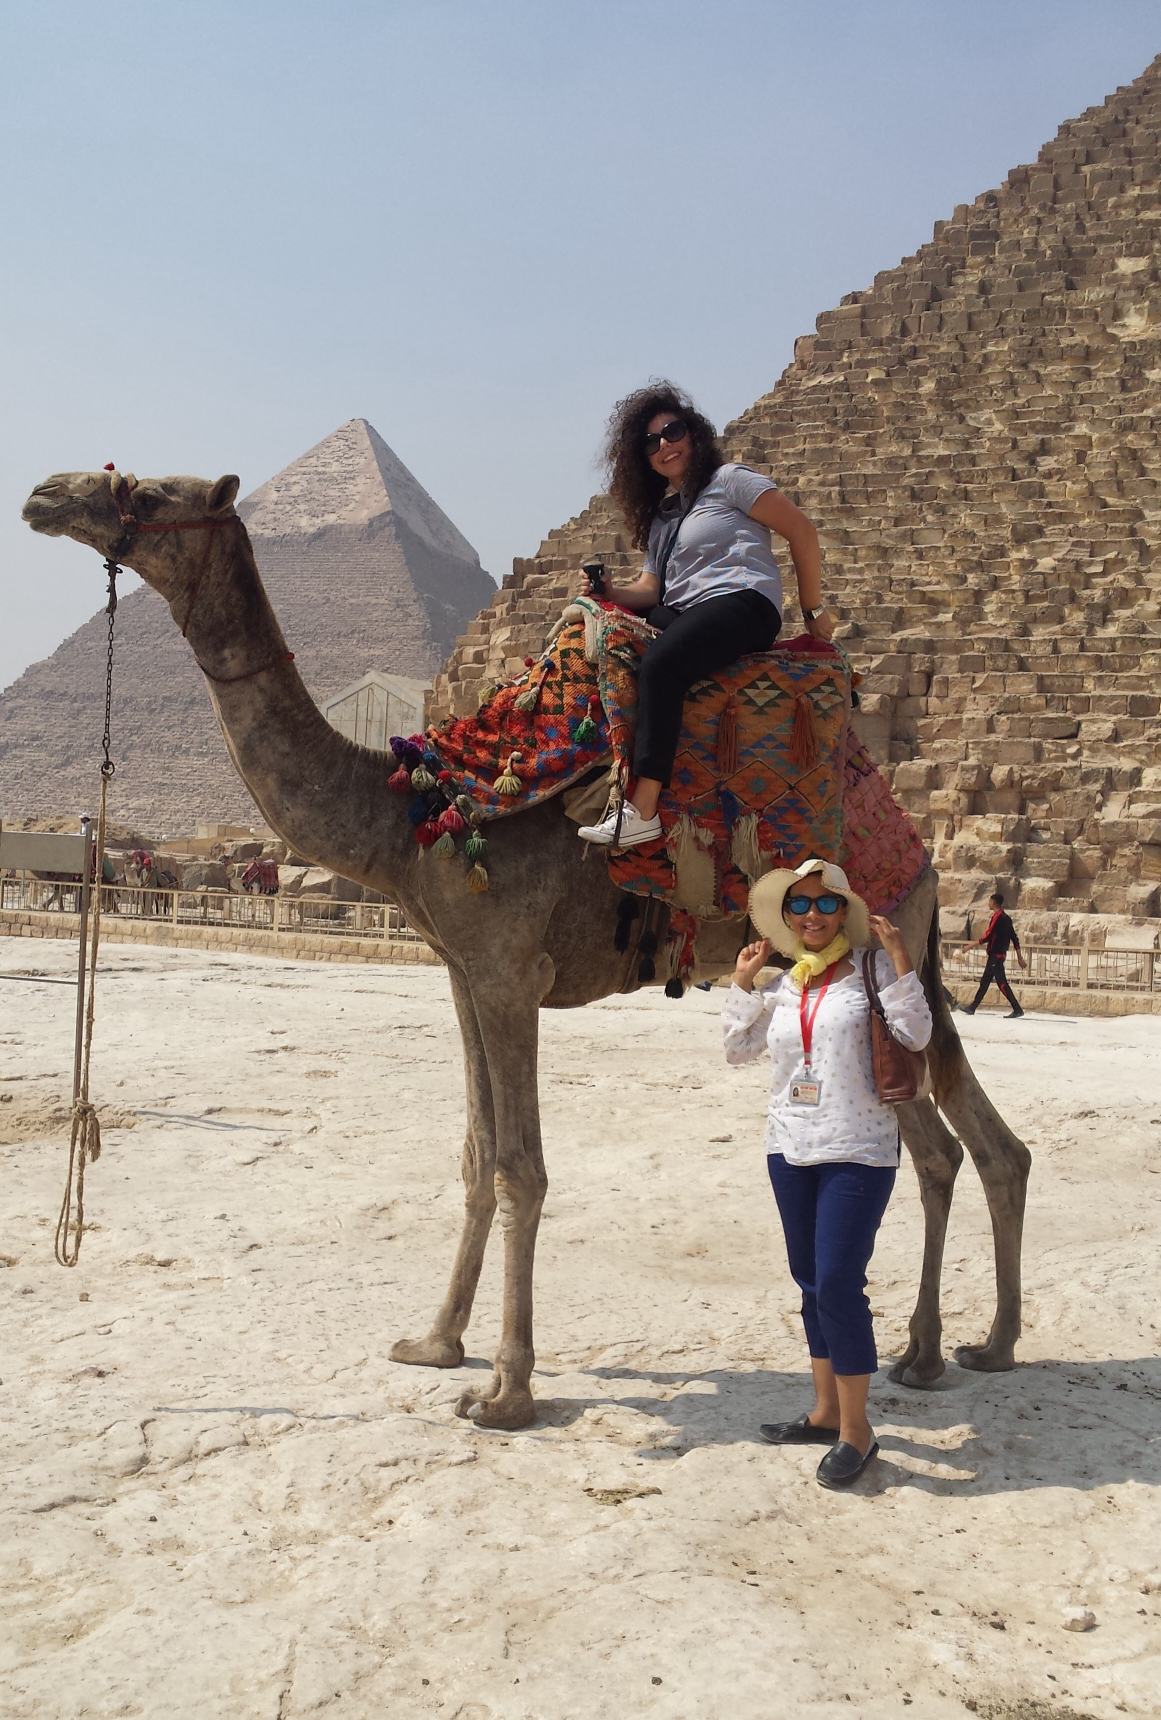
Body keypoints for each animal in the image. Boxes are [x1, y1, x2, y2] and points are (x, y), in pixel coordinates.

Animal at [22, 464, 1032, 1431]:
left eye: (154, 492)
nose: (45, 494)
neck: (410, 816)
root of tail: (916, 849)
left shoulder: (512, 972)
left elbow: (520, 1168)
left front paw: (506, 1392)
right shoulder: (464, 974)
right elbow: (476, 1155)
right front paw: (434, 1343)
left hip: (875, 948)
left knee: (937, 1148)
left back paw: (927, 1351)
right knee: (980, 1145)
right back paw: (977, 1345)